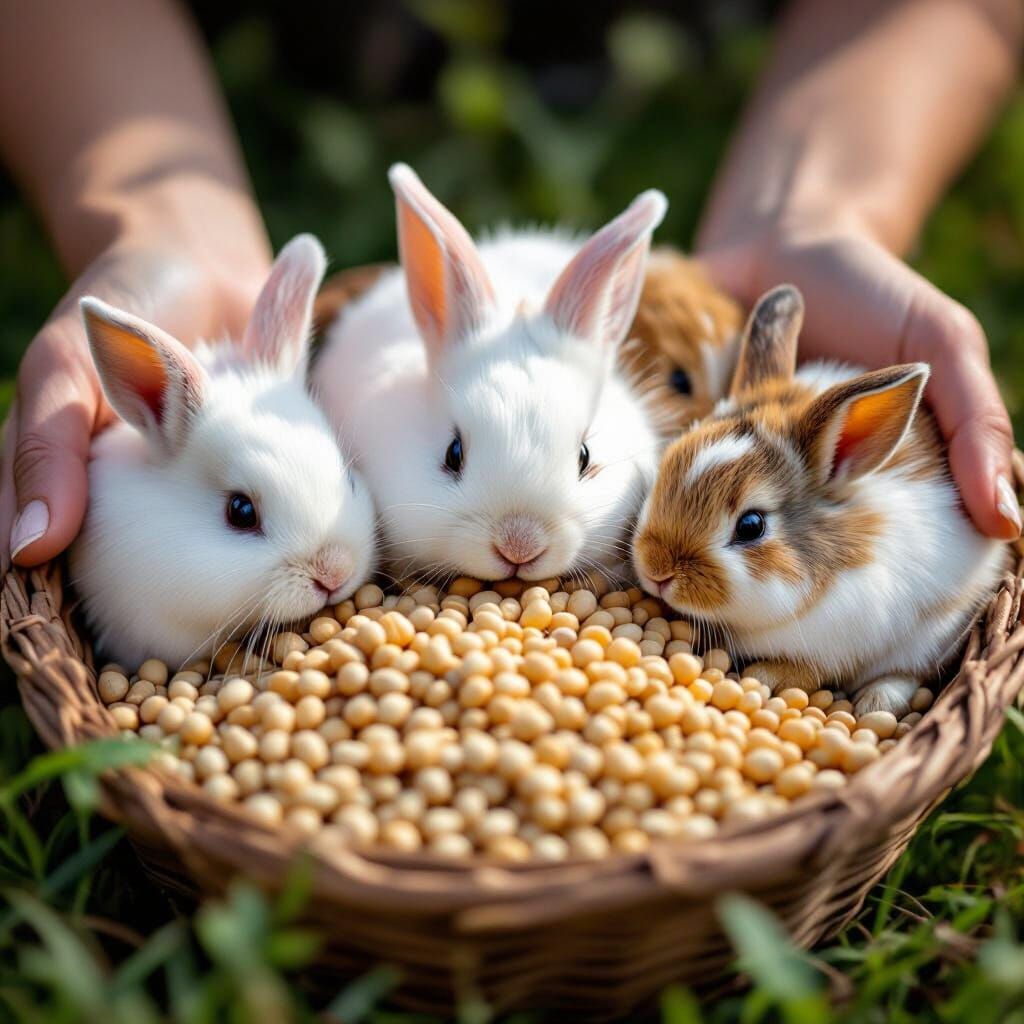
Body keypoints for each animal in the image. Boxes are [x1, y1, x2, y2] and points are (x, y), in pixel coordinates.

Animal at [631, 283, 1010, 716]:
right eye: (666, 464)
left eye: (751, 526)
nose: (656, 571)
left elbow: (812, 671)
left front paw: (763, 676)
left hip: (936, 632)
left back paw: (875, 702)